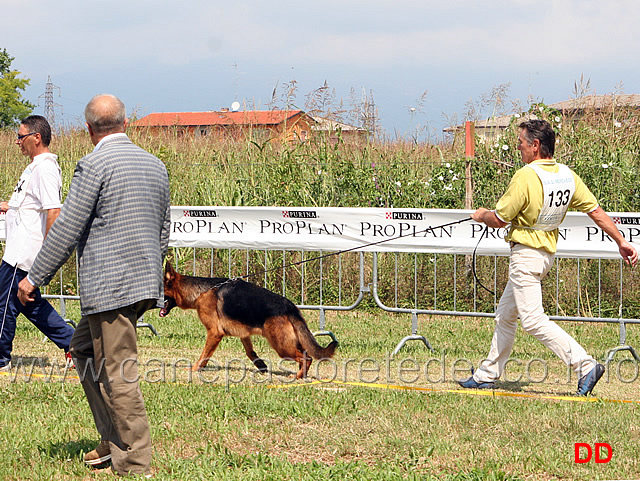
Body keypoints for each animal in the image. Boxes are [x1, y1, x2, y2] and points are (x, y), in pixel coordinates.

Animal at [160, 262, 338, 378]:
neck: (201, 291)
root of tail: (290, 307)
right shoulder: (244, 333)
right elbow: (250, 352)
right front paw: (261, 365)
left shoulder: (214, 333)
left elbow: (204, 355)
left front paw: (195, 369)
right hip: (291, 341)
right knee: (306, 354)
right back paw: (302, 374)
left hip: (281, 346)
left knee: (306, 357)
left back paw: (298, 376)